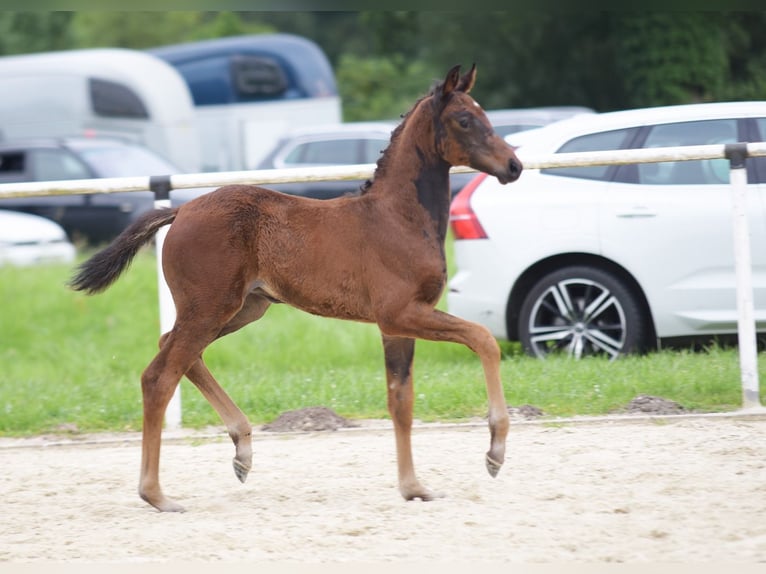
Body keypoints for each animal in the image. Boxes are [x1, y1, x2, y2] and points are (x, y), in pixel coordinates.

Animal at [70, 64, 520, 512]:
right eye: (464, 120)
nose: (513, 165)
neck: (398, 218)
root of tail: (180, 211)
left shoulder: (396, 325)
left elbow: (401, 401)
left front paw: (413, 487)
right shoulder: (401, 313)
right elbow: (483, 339)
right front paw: (494, 452)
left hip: (242, 308)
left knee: (174, 349)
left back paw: (242, 449)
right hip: (211, 308)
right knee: (159, 376)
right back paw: (157, 493)